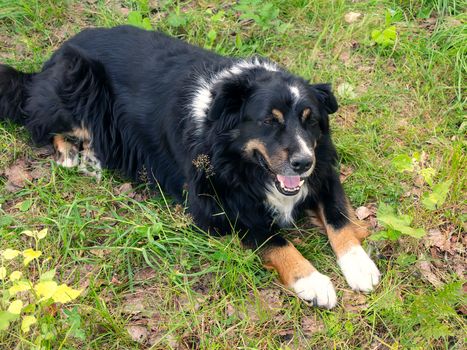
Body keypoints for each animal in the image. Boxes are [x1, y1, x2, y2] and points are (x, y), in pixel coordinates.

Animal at [0, 25, 380, 308]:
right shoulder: (215, 204)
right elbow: (273, 239)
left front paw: (360, 265)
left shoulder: (323, 170)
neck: (238, 159)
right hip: (80, 85)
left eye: (310, 121)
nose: (302, 163)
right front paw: (313, 281)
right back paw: (75, 156)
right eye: (268, 122)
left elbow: (339, 217)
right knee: (42, 124)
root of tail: (49, 61)